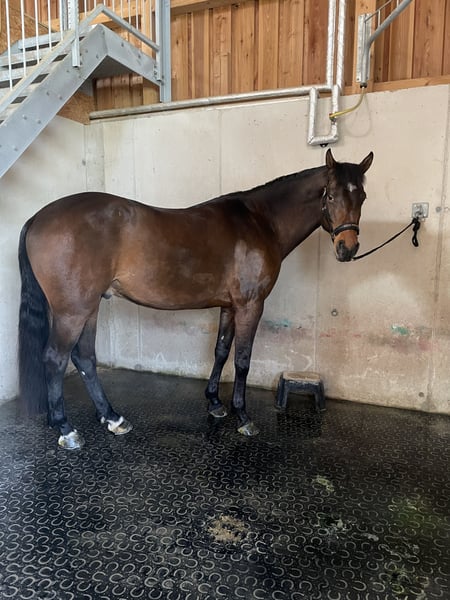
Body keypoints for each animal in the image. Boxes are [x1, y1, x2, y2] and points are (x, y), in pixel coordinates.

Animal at [18, 149, 373, 450]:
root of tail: (38, 217)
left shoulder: (229, 307)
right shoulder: (250, 306)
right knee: (55, 358)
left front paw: (215, 403)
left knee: (84, 358)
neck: (260, 221)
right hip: (72, 312)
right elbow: (242, 360)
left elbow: (221, 351)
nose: (348, 248)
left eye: (362, 196)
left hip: (88, 307)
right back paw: (66, 428)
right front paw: (243, 417)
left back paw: (112, 418)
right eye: (330, 195)